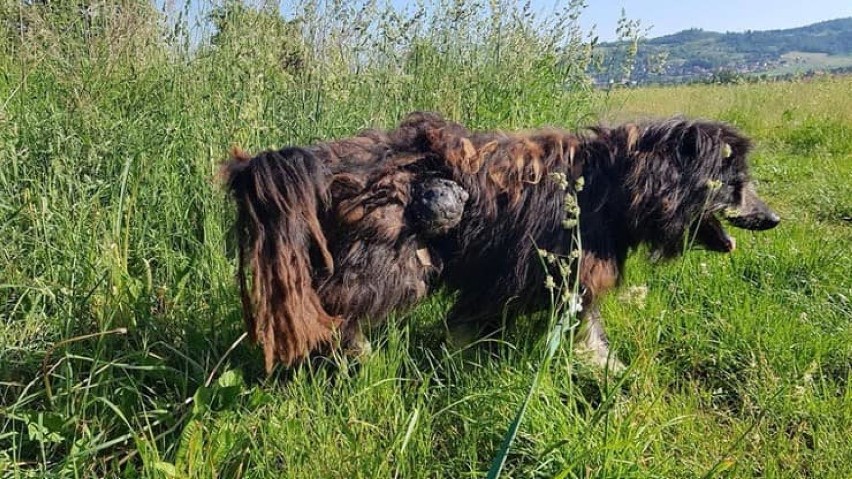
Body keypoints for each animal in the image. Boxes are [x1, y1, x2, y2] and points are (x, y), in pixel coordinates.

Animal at [426, 117, 780, 372]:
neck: (608, 188)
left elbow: (588, 329)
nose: (773, 219)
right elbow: (465, 326)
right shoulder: (515, 277)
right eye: (735, 184)